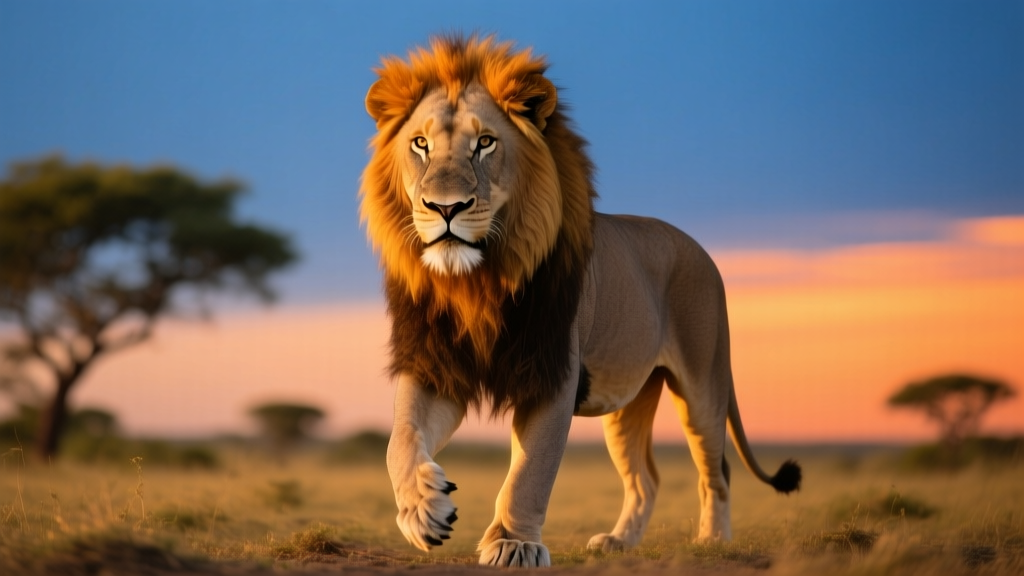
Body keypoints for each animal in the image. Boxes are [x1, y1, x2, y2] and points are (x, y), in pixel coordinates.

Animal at [359, 35, 801, 568]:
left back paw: (713, 540)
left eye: (485, 143)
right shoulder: (436, 366)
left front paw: (513, 544)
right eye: (420, 145)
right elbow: (400, 439)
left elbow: (530, 470)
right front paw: (423, 510)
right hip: (628, 400)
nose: (446, 208)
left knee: (715, 468)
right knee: (646, 477)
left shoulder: (553, 372)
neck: (476, 281)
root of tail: (701, 249)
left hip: (703, 383)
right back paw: (618, 542)